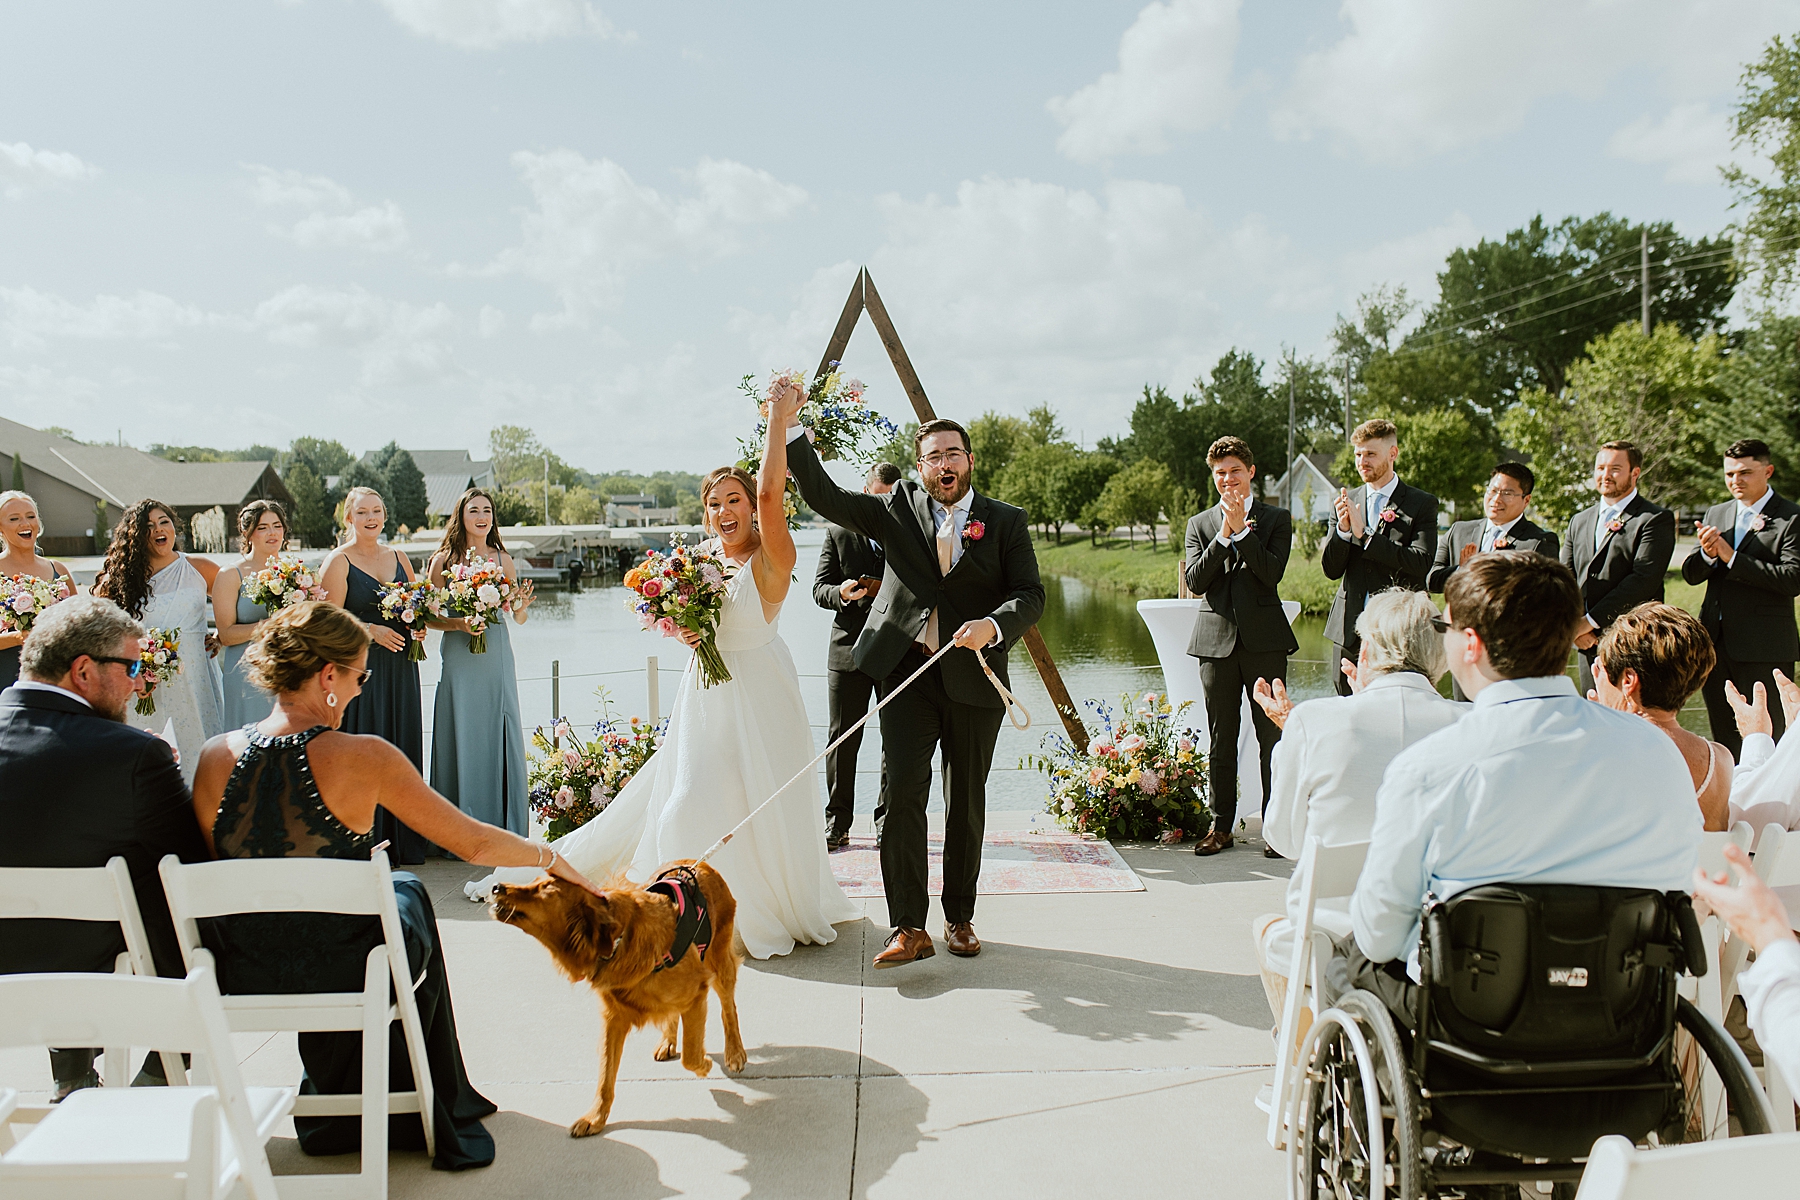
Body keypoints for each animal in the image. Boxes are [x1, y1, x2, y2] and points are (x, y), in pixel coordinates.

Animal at [486, 859, 745, 1129]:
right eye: (535, 881)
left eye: (545, 888)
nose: (496, 886)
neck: (619, 942)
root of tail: (699, 864)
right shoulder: (615, 1015)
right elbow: (605, 1073)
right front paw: (595, 1117)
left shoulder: (697, 990)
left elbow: (691, 1055)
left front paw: (704, 1065)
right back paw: (667, 1041)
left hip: (719, 962)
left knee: (728, 1009)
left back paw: (735, 1052)